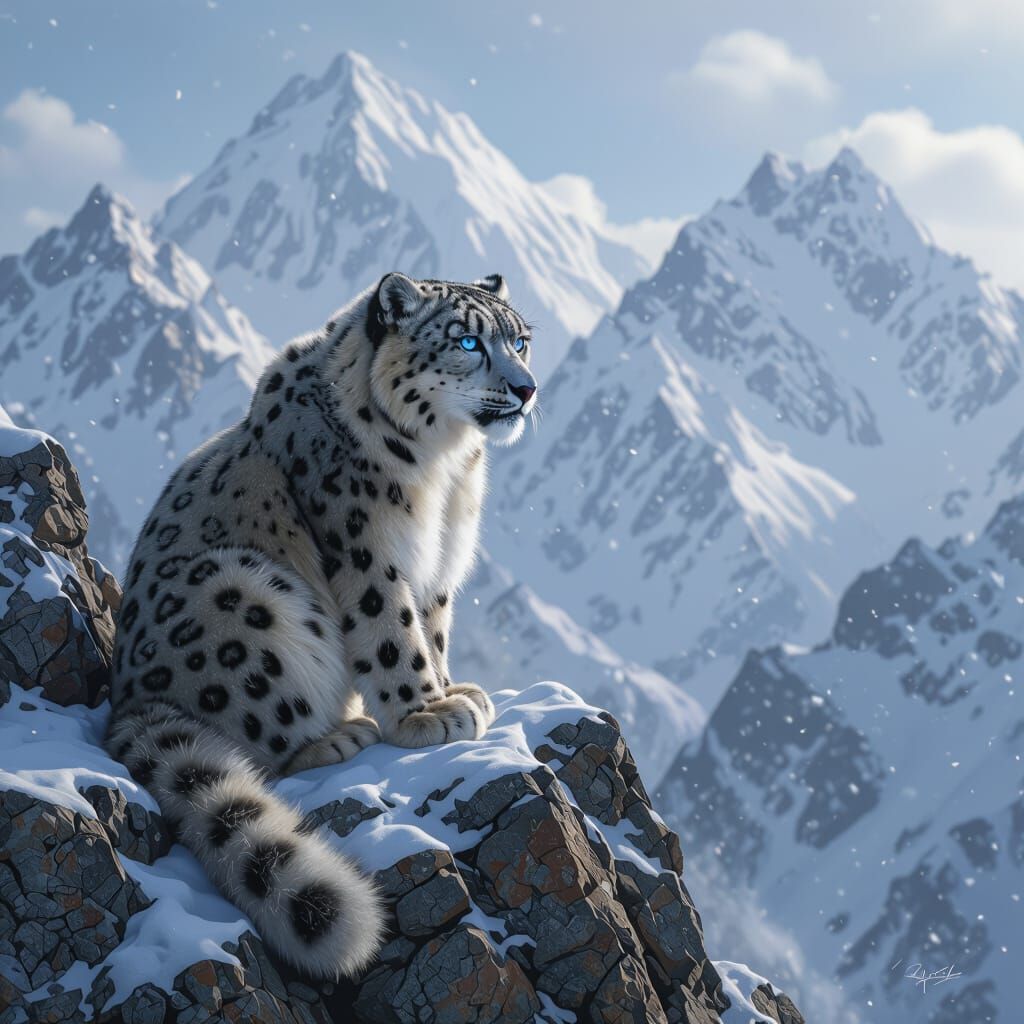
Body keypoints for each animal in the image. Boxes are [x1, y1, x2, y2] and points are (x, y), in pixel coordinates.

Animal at [105, 272, 538, 979]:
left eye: (521, 340)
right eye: (468, 340)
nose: (527, 388)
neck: (446, 470)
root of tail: (128, 701)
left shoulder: (439, 565)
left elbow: (432, 628)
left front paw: (454, 691)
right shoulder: (367, 550)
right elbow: (393, 633)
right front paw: (426, 714)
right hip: (247, 596)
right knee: (256, 748)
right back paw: (337, 737)